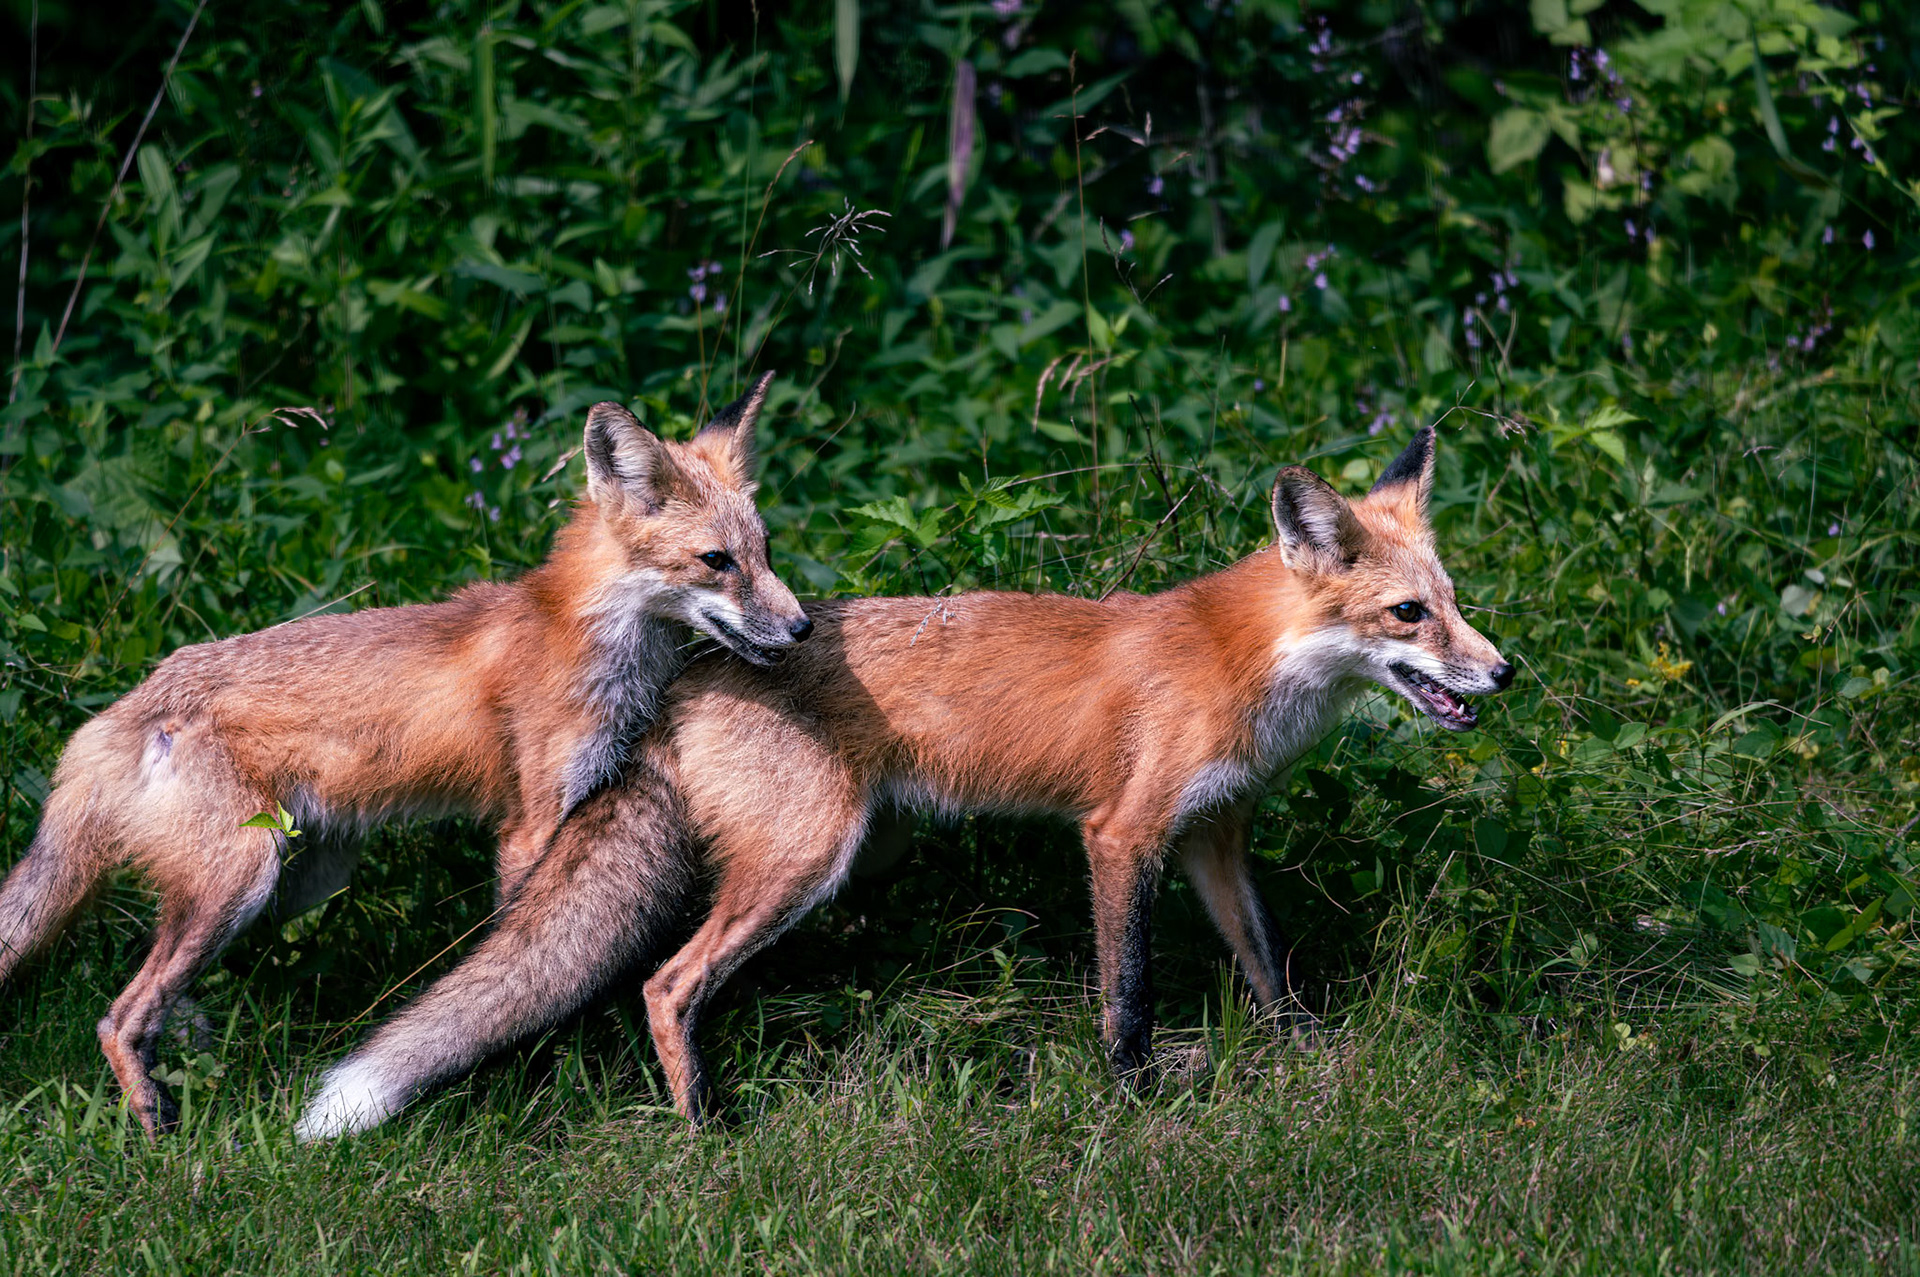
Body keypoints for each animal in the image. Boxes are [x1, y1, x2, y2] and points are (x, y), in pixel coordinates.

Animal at [0, 374, 812, 1135]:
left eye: (766, 553)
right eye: (716, 560)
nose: (803, 627)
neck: (593, 638)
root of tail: (120, 712)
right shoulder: (531, 825)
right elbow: (524, 958)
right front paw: (542, 1074)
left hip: (296, 879)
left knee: (152, 962)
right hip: (243, 875)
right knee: (117, 1012)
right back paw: (152, 1120)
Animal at [295, 425, 1515, 1138]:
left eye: (1455, 601)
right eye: (1410, 615)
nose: (1504, 670)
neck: (1242, 662)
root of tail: (693, 668)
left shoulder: (1216, 836)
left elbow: (1268, 965)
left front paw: (1305, 1054)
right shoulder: (1121, 834)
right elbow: (1126, 991)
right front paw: (1132, 1100)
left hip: (841, 855)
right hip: (805, 858)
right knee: (667, 981)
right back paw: (705, 1129)